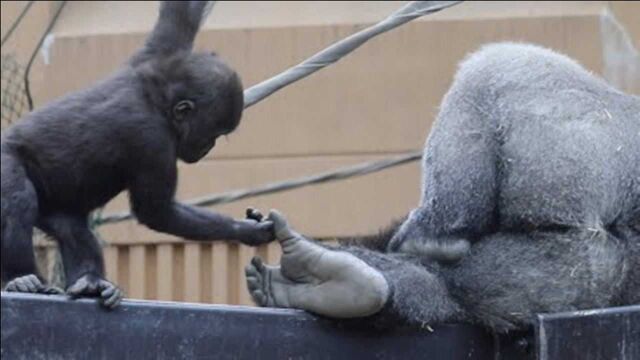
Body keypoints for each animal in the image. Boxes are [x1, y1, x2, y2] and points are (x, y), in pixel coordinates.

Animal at [0, 1, 272, 308]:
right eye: (213, 133)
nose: (208, 148)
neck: (156, 100)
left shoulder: (156, 54)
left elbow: (181, 14)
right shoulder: (152, 141)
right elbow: (155, 210)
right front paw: (245, 229)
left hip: (53, 206)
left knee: (72, 229)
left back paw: (90, 282)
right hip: (5, 160)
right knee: (19, 198)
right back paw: (20, 278)